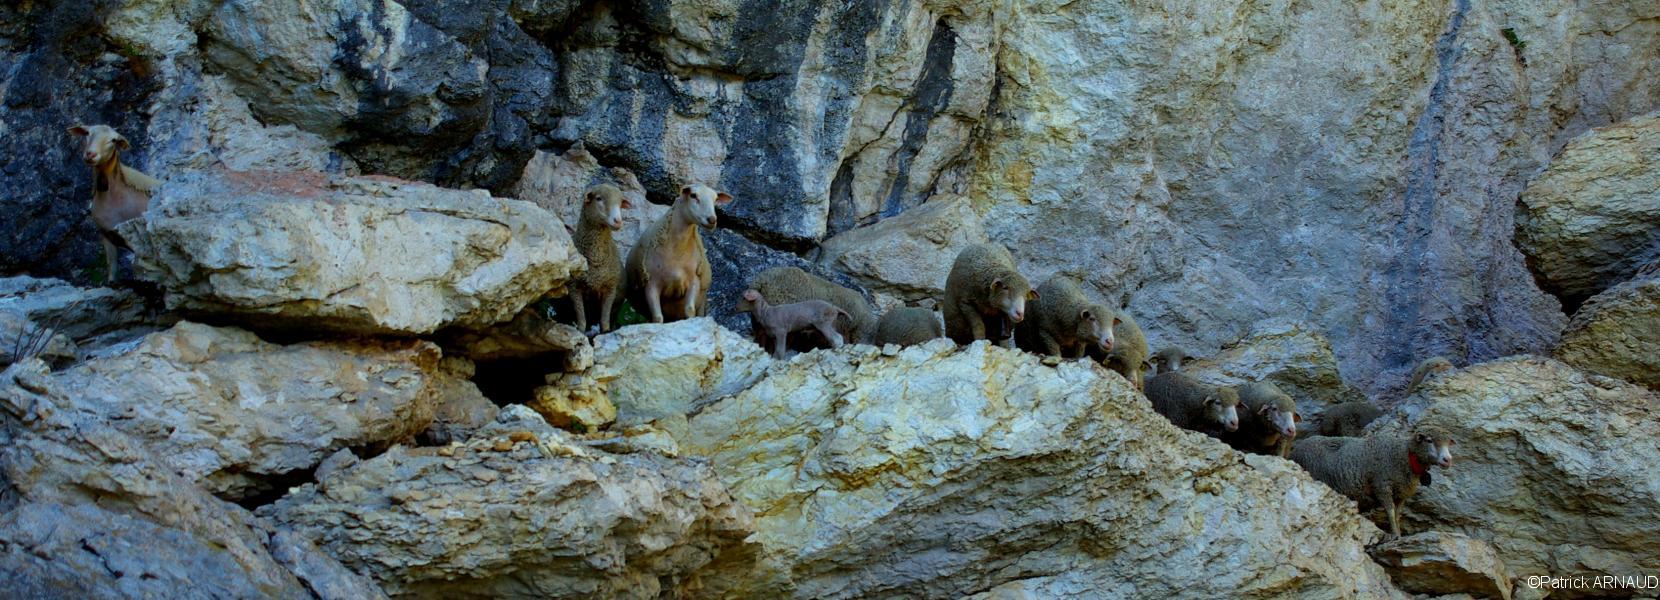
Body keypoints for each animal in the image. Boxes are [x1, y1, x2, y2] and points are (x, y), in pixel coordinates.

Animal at [68, 124, 159, 282]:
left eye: (113, 140)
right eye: (87, 133)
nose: (90, 154)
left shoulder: (136, 241)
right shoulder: (106, 235)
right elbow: (112, 271)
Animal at [622, 183, 730, 323]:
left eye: (716, 199)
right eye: (693, 195)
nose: (712, 220)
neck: (677, 251)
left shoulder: (694, 281)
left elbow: (690, 310)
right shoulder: (651, 284)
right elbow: (657, 318)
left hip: (703, 304)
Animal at [1290, 426, 1455, 540]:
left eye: (1448, 443)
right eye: (1429, 440)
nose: (1448, 460)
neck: (1404, 455)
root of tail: (1295, 448)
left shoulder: (1401, 494)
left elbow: (1397, 515)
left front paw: (1398, 533)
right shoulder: (1382, 486)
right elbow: (1390, 512)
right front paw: (1395, 535)